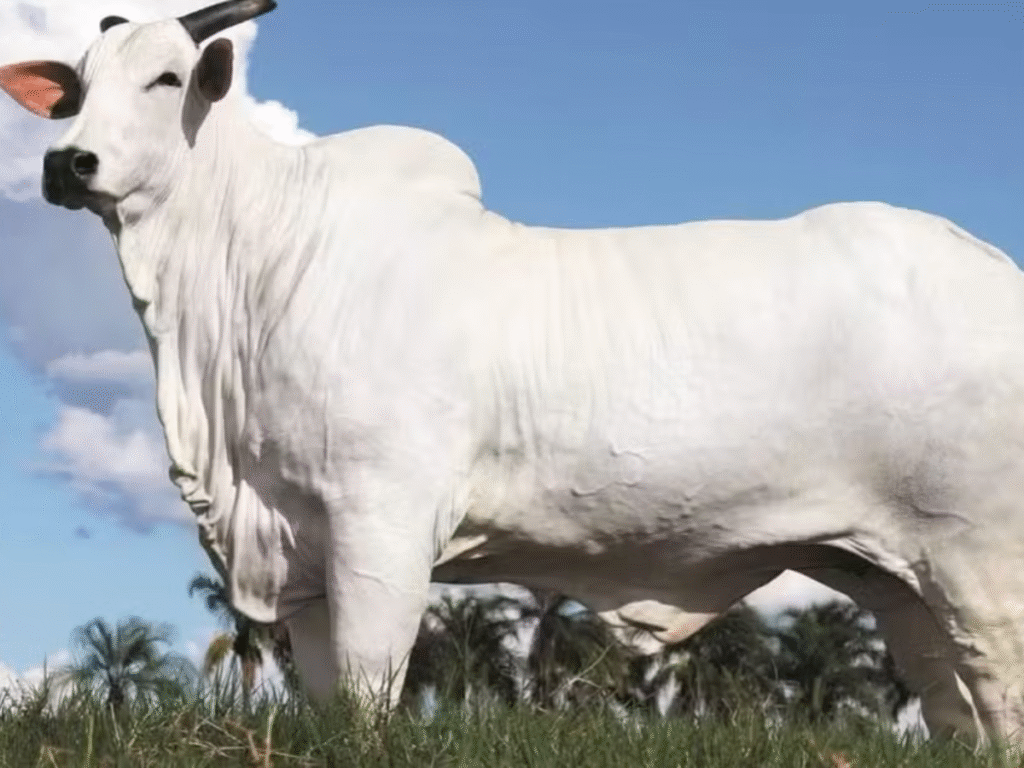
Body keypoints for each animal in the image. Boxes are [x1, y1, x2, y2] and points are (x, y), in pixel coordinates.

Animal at [2, 0, 1023, 744]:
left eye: (167, 76)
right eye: (77, 87)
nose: (68, 163)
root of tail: (990, 264)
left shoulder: (381, 522)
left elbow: (369, 696)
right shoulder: (298, 543)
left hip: (982, 561)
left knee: (1001, 695)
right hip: (898, 577)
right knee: (954, 707)